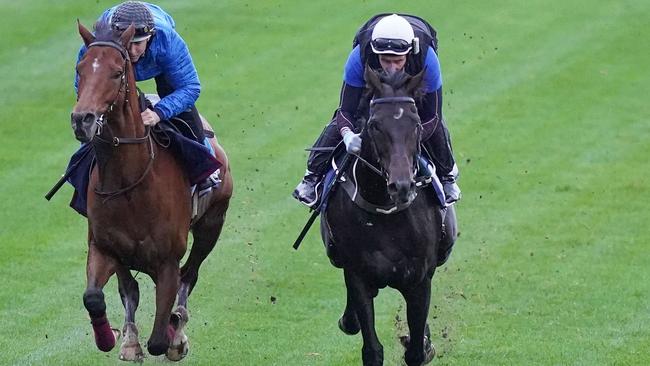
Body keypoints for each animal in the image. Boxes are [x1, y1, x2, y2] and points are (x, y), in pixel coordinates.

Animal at [70, 20, 232, 360]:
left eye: (117, 72)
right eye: (80, 69)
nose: (82, 120)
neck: (129, 183)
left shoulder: (167, 260)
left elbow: (159, 338)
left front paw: (173, 336)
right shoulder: (104, 247)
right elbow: (95, 296)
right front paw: (113, 339)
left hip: (212, 224)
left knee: (189, 274)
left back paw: (177, 328)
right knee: (130, 289)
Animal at [322, 67, 458, 364]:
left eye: (416, 124)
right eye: (375, 125)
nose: (401, 185)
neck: (385, 211)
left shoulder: (419, 280)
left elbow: (417, 351)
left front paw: (423, 345)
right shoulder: (358, 275)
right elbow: (372, 349)